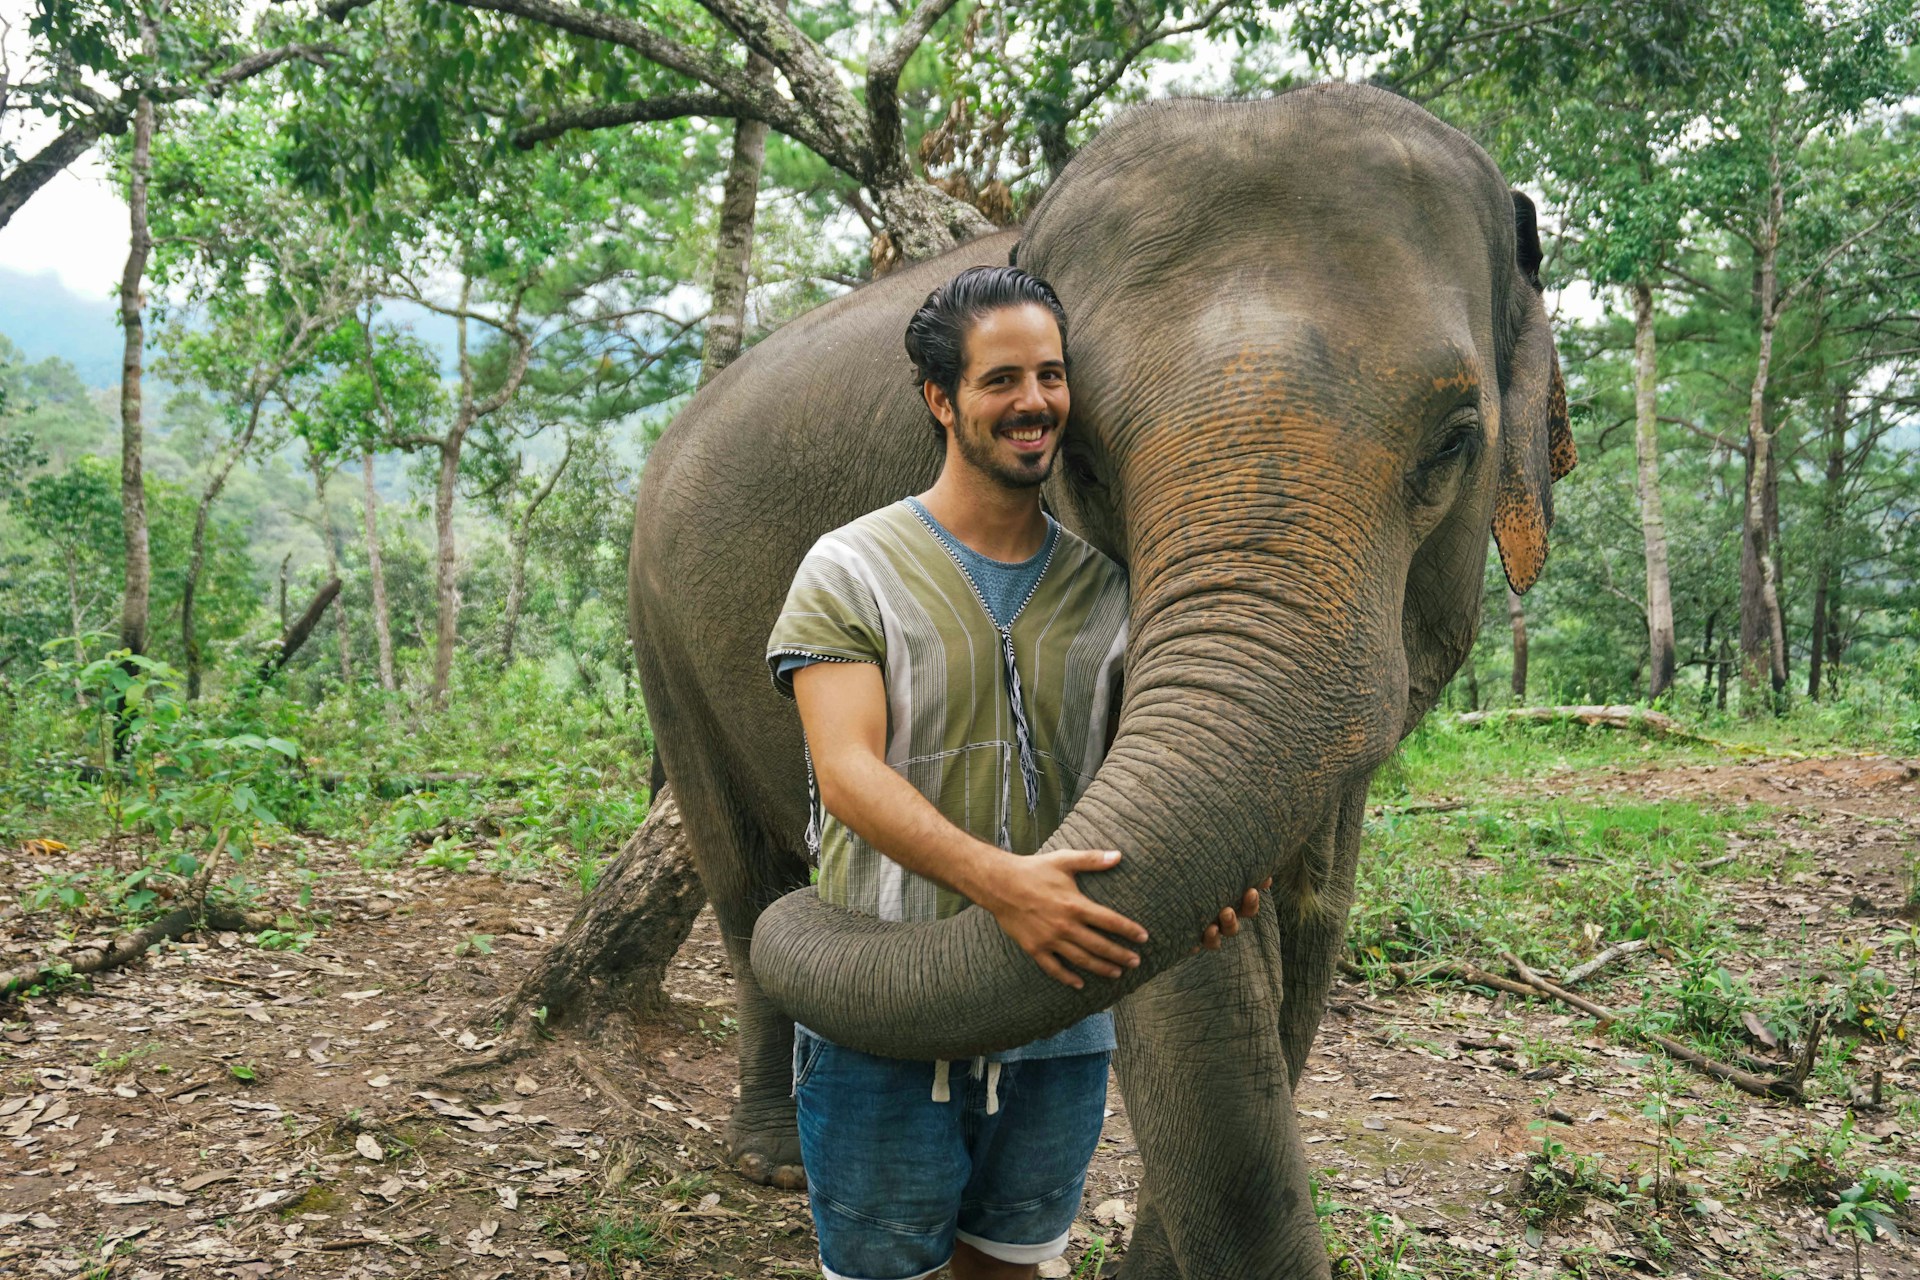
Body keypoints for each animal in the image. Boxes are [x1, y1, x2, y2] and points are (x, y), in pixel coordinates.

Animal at [630, 82, 1573, 1278]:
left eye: (1455, 440)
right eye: (1078, 458)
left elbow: (1307, 934)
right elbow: (1188, 979)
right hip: (657, 625)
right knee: (743, 881)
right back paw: (773, 1159)